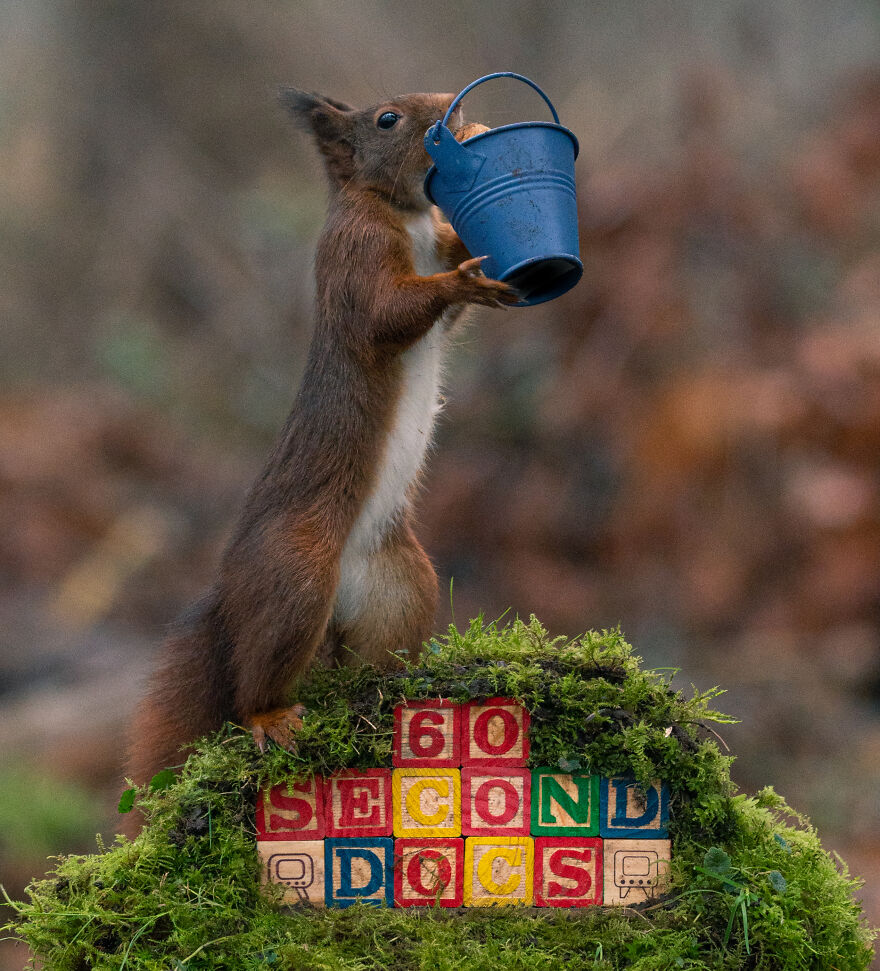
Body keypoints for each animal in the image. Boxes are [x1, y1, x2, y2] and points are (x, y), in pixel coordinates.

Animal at [125, 90, 517, 790]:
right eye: (388, 120)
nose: (453, 109)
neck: (404, 212)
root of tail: (230, 596)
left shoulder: (438, 243)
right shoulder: (354, 255)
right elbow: (387, 312)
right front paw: (465, 283)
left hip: (401, 586)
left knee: (367, 661)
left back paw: (399, 689)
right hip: (295, 576)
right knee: (252, 684)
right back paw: (269, 716)